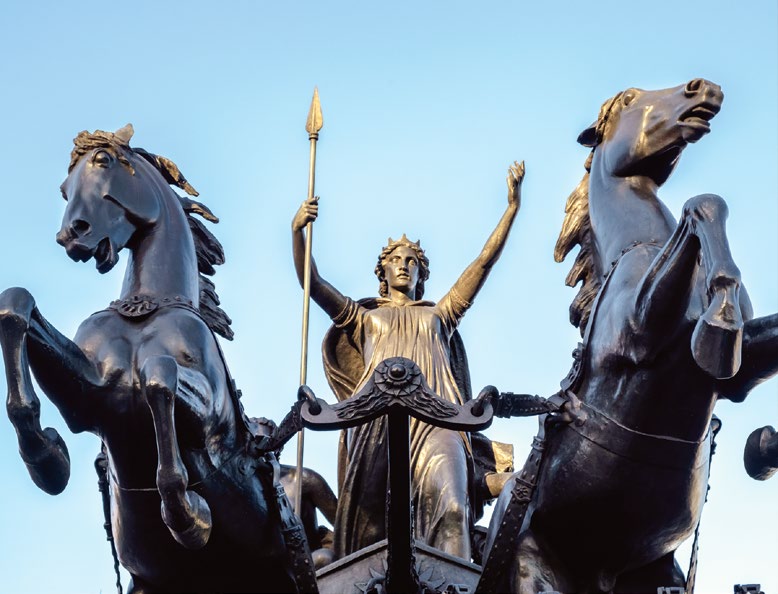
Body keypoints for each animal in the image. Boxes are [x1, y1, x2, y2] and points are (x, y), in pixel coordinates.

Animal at [0, 126, 300, 592]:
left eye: (104, 161)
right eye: (64, 188)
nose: (72, 235)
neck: (145, 308)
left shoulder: (211, 423)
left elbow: (160, 377)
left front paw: (189, 517)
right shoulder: (92, 399)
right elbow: (15, 304)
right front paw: (48, 459)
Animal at [484, 80, 776, 592]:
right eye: (628, 102)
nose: (703, 89)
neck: (640, 246)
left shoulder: (740, 377)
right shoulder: (637, 336)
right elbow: (701, 203)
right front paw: (718, 321)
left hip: (657, 572)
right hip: (528, 565)